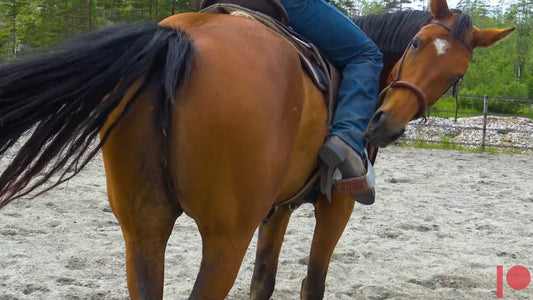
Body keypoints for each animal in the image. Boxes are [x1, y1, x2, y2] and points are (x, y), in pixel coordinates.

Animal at [0, 0, 512, 298]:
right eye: (417, 42)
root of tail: (178, 39)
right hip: (226, 237)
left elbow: (264, 280)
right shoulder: (337, 205)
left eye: (456, 75)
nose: (382, 124)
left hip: (144, 228)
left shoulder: (278, 208)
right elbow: (313, 281)